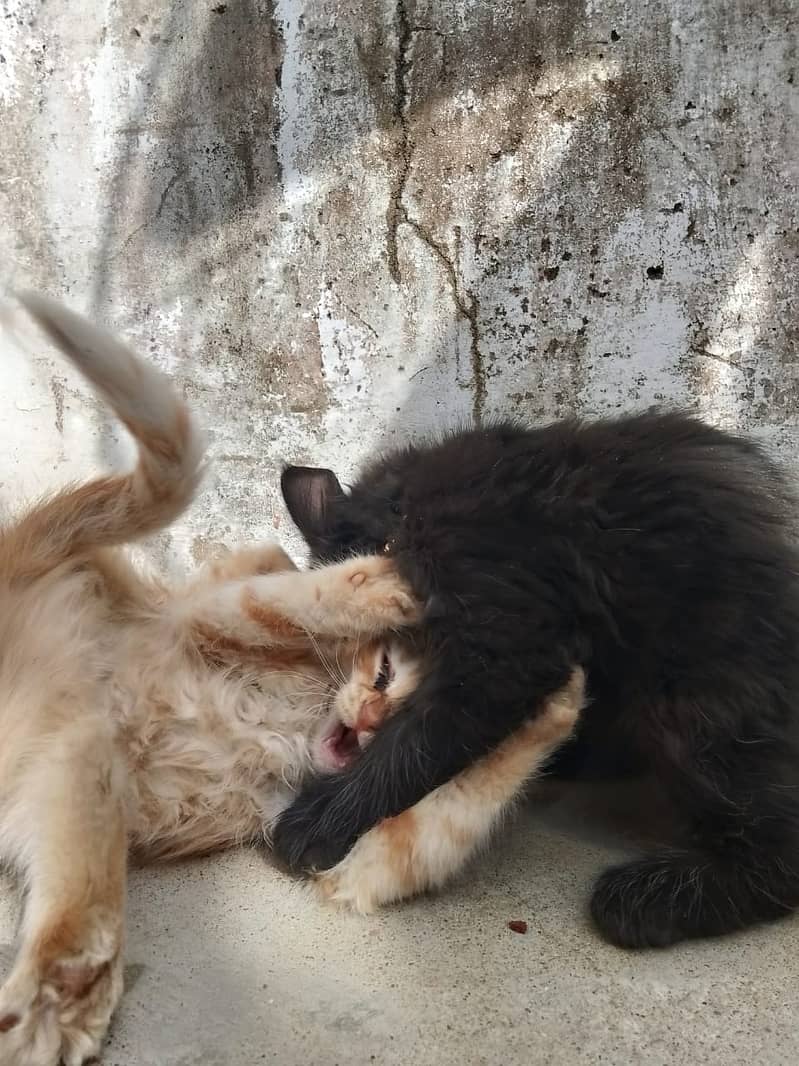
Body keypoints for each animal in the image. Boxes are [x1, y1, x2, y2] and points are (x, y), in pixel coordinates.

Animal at [274, 409, 799, 950]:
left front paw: (321, 819)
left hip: (694, 694)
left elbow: (411, 744)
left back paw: (645, 900)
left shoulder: (508, 637)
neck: (406, 513)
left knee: (780, 847)